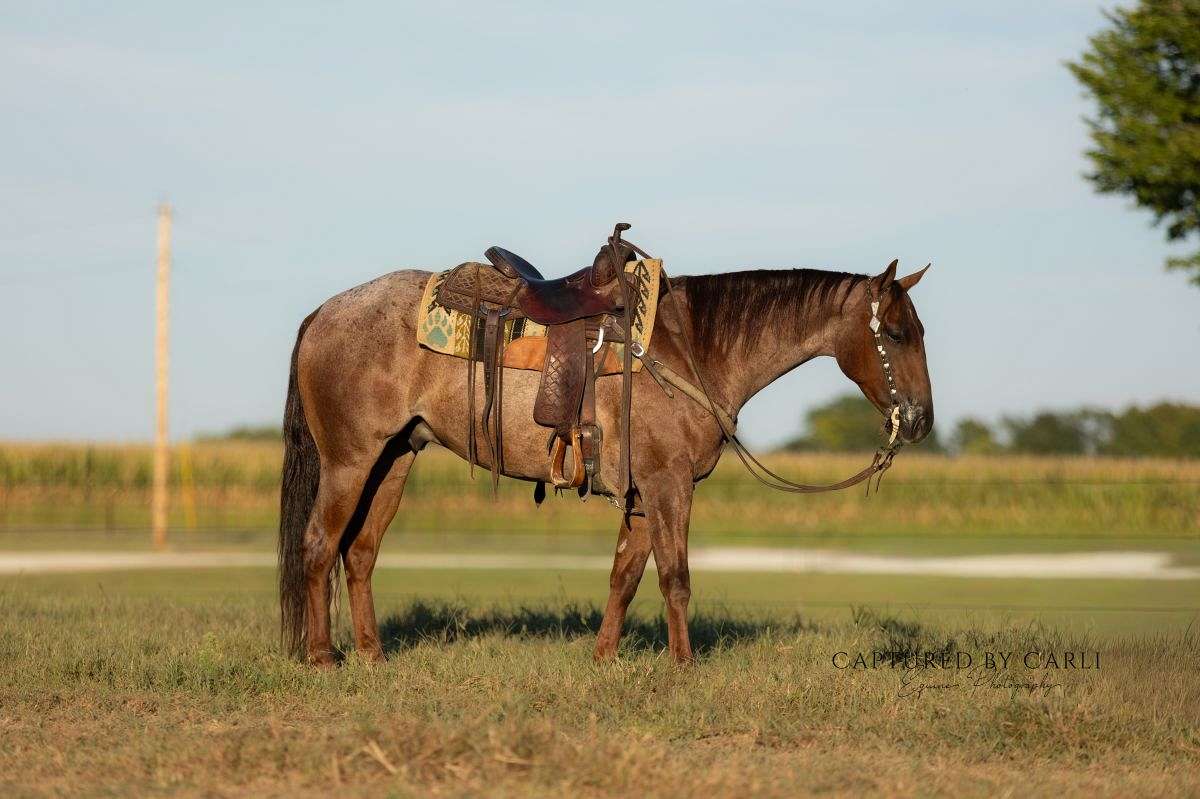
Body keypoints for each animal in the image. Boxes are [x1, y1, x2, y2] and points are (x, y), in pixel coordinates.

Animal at [278, 255, 933, 665]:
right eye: (896, 333)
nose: (921, 420)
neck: (691, 347)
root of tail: (323, 313)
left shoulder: (644, 491)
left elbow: (626, 574)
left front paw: (604, 658)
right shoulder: (670, 484)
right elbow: (674, 578)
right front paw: (683, 668)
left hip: (394, 458)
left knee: (360, 552)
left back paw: (371, 655)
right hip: (349, 461)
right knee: (319, 544)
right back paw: (323, 659)